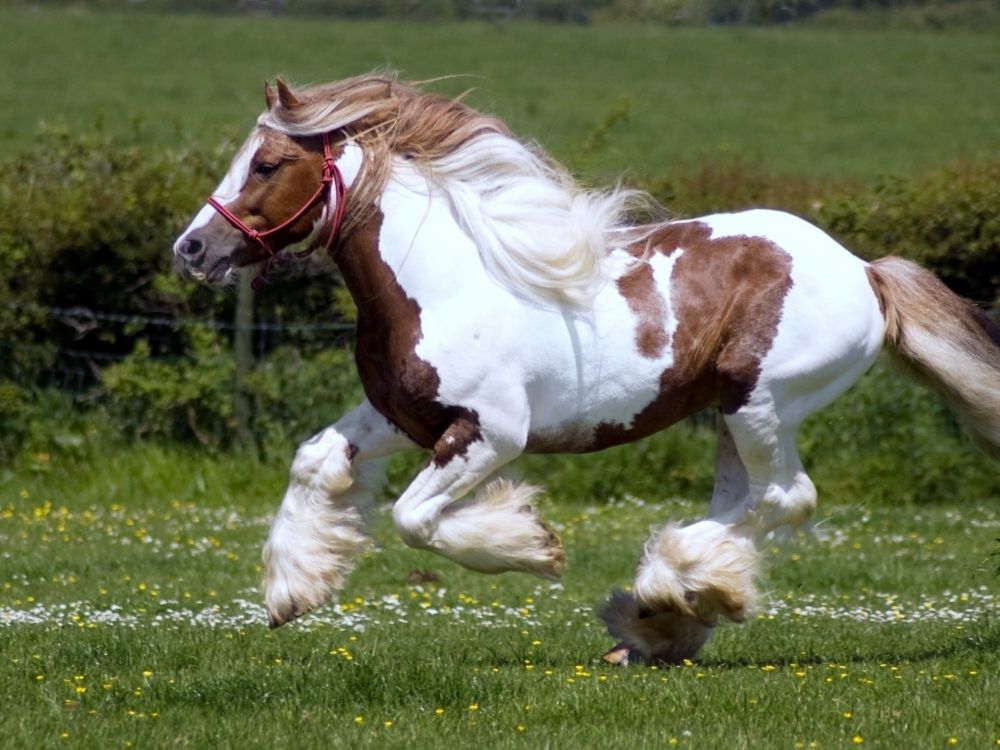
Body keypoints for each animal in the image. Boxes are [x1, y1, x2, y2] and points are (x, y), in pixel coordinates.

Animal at [176, 73, 1000, 668]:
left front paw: (532, 545)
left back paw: (663, 595)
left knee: (784, 497)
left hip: (761, 403)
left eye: (268, 164)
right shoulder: (399, 416)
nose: (191, 249)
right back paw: (663, 619)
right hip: (731, 416)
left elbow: (414, 519)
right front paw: (291, 592)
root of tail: (865, 272)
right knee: (747, 503)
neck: (444, 282)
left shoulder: (490, 434)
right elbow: (316, 460)